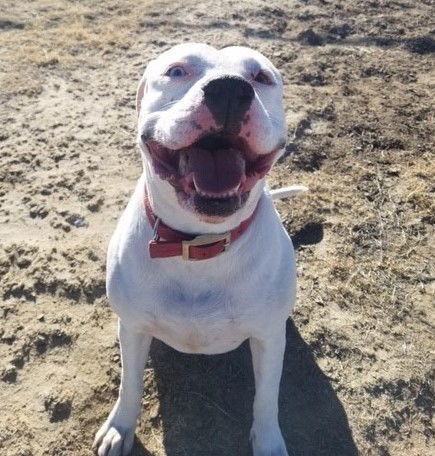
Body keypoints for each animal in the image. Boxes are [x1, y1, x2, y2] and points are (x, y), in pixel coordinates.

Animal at [94, 43, 306, 456]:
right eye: (177, 70)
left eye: (262, 77)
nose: (229, 90)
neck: (196, 245)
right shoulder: (133, 328)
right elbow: (130, 384)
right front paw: (120, 427)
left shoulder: (268, 338)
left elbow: (266, 399)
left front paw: (268, 442)